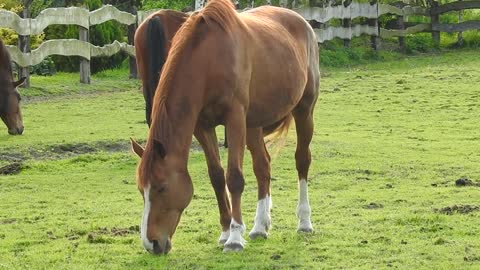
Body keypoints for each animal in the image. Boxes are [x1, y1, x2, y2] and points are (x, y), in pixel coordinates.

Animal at [130, 0, 318, 254]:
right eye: (142, 190)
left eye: (162, 187)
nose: (151, 243)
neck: (208, 61)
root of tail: (302, 22)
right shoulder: (202, 126)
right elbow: (217, 177)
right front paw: (226, 231)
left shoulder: (235, 118)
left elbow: (234, 178)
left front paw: (235, 238)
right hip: (254, 124)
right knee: (263, 166)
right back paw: (260, 226)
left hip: (304, 111)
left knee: (302, 160)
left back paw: (304, 222)